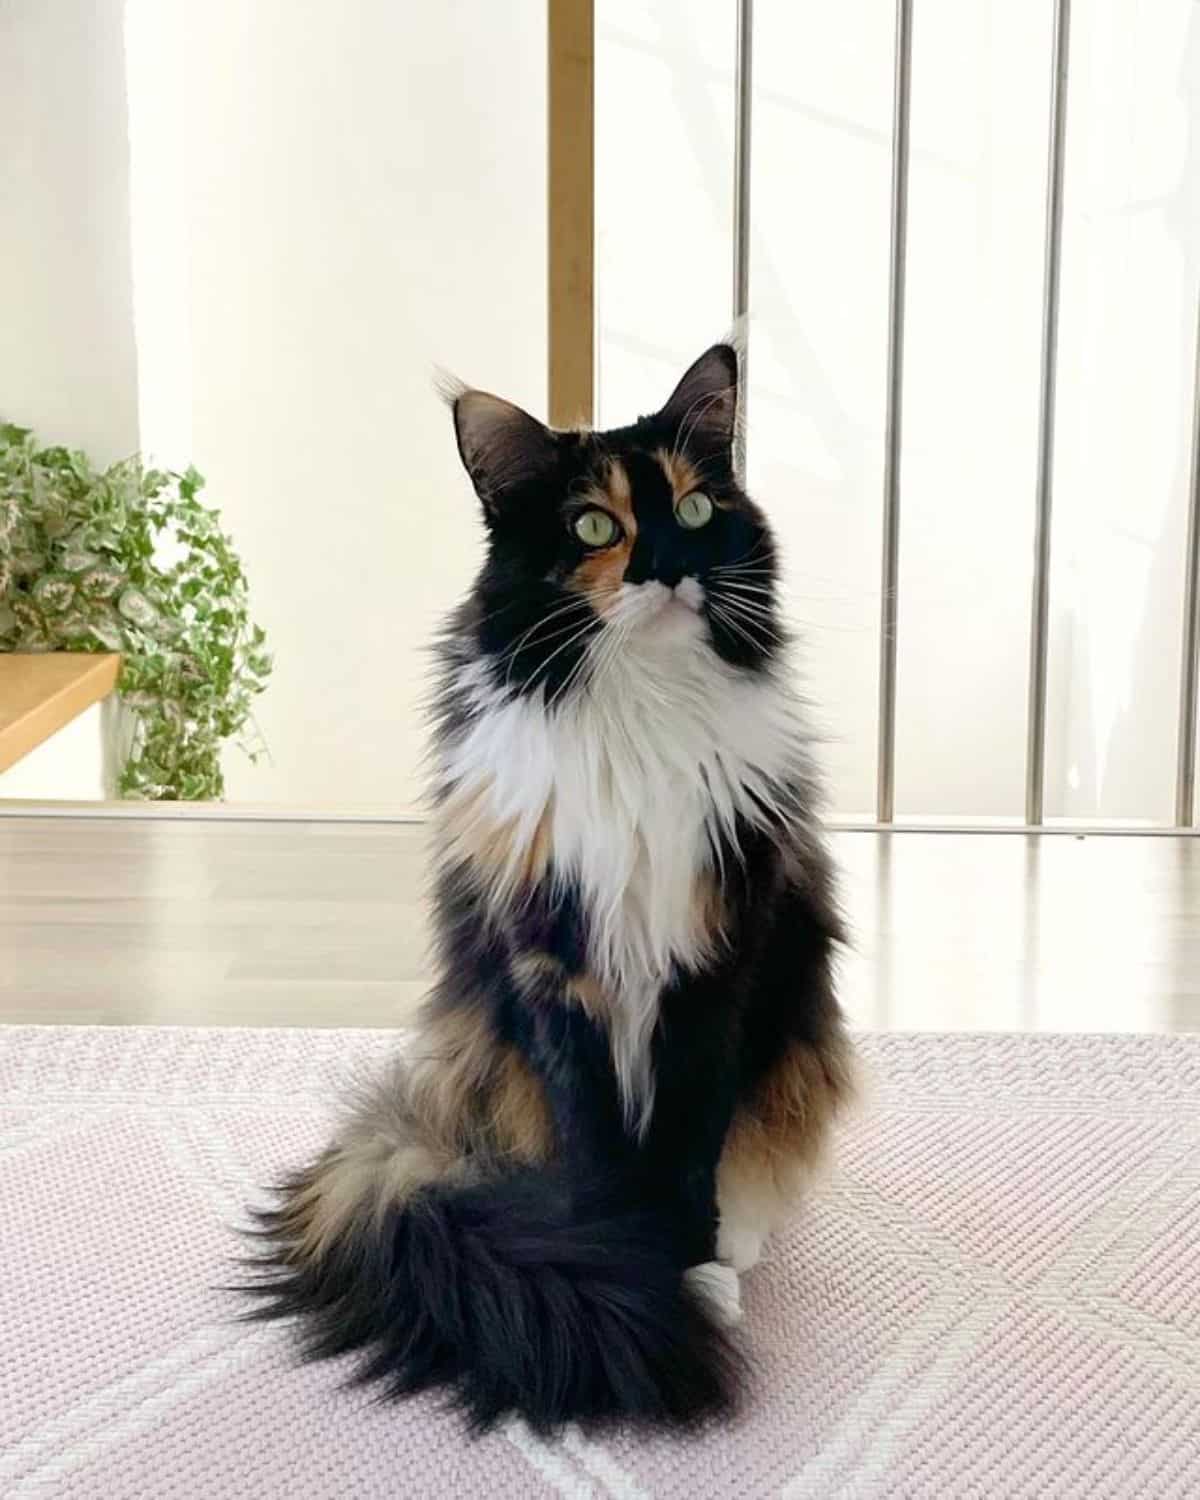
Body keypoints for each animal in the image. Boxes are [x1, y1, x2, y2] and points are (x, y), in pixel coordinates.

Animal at [246, 340, 852, 1428]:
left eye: (695, 508)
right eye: (594, 526)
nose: (668, 568)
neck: (639, 713)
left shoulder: (717, 963)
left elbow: (692, 1139)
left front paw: (691, 1264)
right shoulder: (551, 965)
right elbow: (595, 1145)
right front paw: (625, 1267)